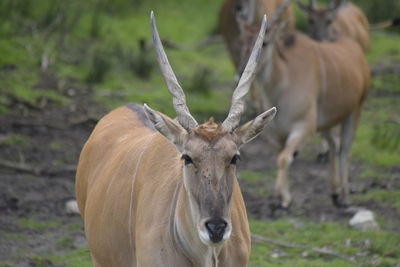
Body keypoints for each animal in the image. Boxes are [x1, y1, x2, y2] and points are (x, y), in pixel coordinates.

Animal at [236, 2, 370, 211]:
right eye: (241, 40)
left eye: (265, 43)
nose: (243, 69)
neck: (281, 85)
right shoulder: (274, 135)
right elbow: (280, 158)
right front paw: (283, 196)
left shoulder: (304, 127)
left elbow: (285, 158)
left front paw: (282, 199)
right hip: (326, 122)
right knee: (334, 145)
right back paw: (334, 192)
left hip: (355, 111)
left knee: (344, 151)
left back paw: (344, 196)